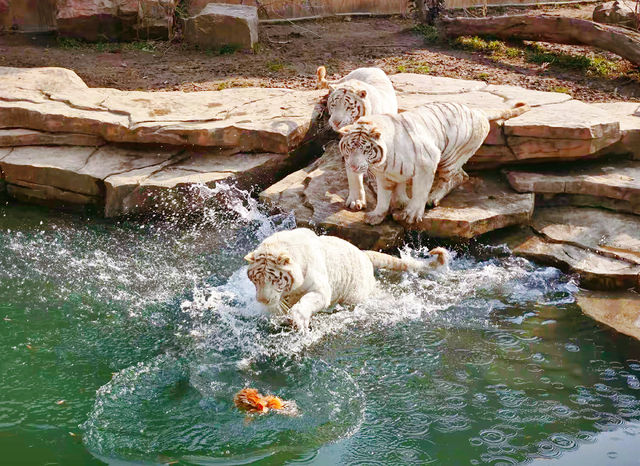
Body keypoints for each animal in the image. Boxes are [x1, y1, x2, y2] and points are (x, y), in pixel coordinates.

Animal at [242, 227, 448, 330]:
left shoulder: (321, 290)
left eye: (274, 279)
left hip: (356, 295)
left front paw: (297, 319)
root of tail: (364, 254)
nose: (262, 300)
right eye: (256, 279)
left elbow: (308, 300)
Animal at [316, 65, 398, 211]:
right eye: (333, 105)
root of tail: (369, 67)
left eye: (349, 107)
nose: (335, 122)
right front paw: (356, 201)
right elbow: (354, 176)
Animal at [340, 102, 528, 226]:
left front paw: (410, 214)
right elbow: (384, 196)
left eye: (365, 150)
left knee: (453, 177)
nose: (354, 167)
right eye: (350, 148)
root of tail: (478, 111)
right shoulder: (386, 174)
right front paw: (379, 214)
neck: (384, 162)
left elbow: (419, 191)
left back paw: (432, 198)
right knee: (462, 175)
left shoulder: (426, 164)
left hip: (449, 157)